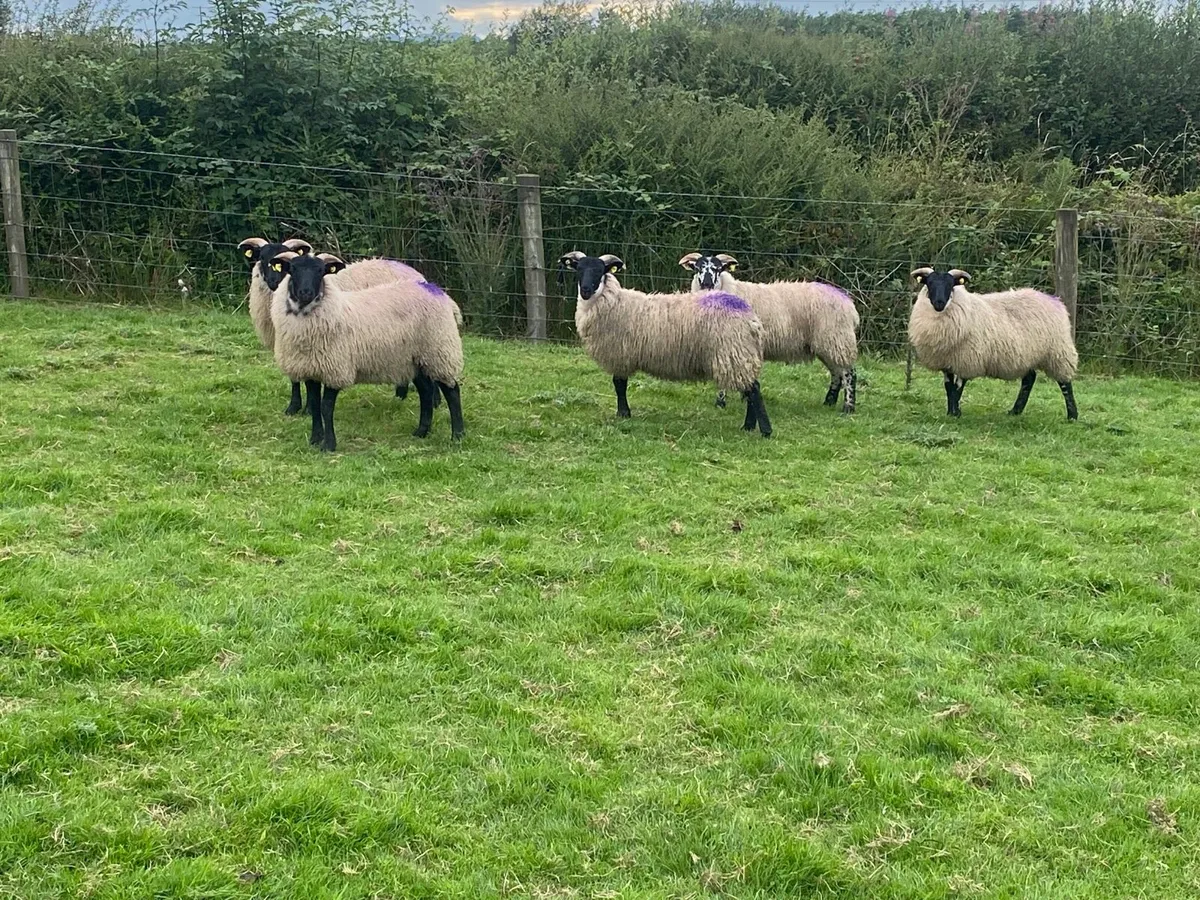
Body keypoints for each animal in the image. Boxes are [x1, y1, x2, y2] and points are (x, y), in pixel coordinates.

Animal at [268, 251, 465, 452]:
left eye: (320, 271)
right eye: (292, 269)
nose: (306, 292)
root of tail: (435, 290)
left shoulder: (336, 369)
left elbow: (326, 407)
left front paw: (329, 445)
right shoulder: (311, 369)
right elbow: (315, 406)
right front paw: (315, 439)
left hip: (439, 350)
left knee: (452, 391)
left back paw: (458, 435)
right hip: (414, 358)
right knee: (425, 391)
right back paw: (422, 431)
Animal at [558, 250, 772, 437]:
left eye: (600, 271)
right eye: (579, 270)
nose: (586, 290)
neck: (613, 300)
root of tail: (751, 318)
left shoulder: (620, 353)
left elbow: (619, 385)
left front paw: (623, 413)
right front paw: (624, 413)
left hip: (733, 353)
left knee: (753, 390)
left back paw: (764, 430)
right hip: (739, 354)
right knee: (751, 388)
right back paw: (749, 426)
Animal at [679, 252, 860, 413]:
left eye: (717, 269)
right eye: (697, 268)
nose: (706, 284)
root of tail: (849, 305)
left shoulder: (729, 343)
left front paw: (721, 403)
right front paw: (745, 397)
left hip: (836, 339)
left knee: (849, 373)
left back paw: (848, 407)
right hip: (827, 343)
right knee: (836, 373)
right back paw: (829, 402)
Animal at [908, 267, 1079, 421]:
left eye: (951, 285)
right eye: (929, 283)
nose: (939, 303)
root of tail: (1055, 301)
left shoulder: (967, 359)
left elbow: (958, 387)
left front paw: (956, 413)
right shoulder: (947, 360)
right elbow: (949, 387)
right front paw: (951, 413)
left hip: (1058, 351)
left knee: (1065, 383)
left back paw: (1072, 416)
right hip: (1026, 355)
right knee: (1029, 378)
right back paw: (1015, 411)